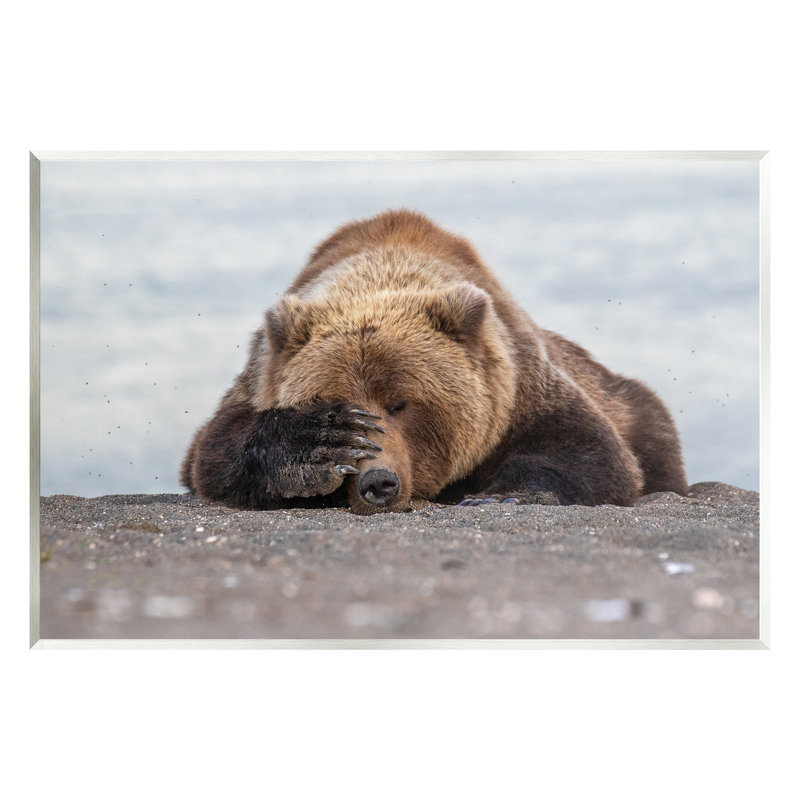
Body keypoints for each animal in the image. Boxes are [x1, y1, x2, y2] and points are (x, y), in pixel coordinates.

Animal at [181, 209, 688, 514]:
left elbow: (590, 453)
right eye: (334, 401)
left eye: (401, 403)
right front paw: (319, 444)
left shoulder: (518, 386)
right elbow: (215, 450)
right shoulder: (260, 376)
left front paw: (500, 496)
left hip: (629, 402)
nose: (378, 483)